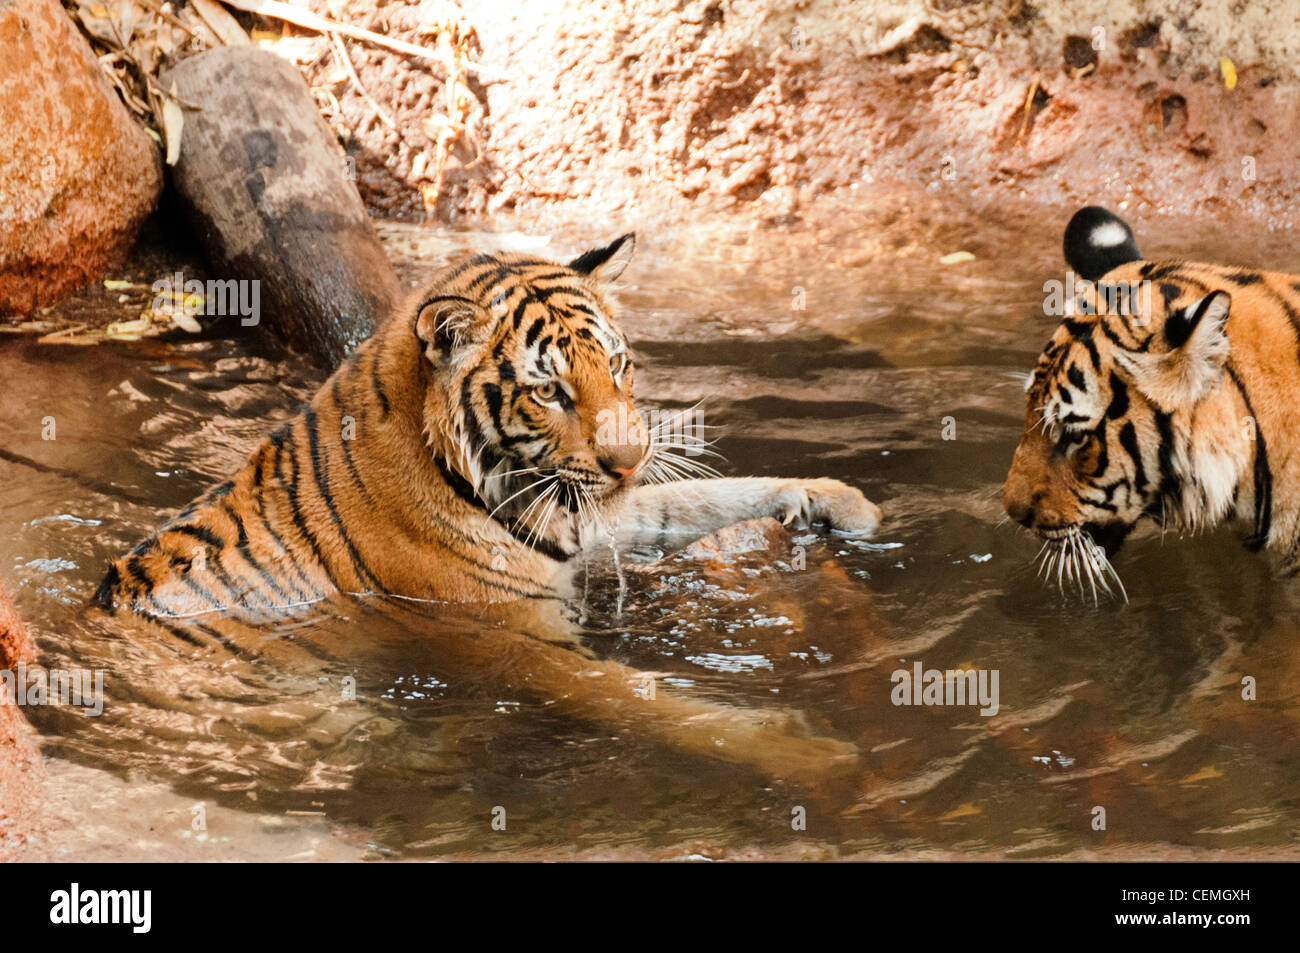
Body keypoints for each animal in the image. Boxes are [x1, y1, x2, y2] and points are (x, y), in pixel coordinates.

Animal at [91, 232, 883, 780]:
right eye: (549, 390)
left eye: (617, 364)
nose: (628, 461)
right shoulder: (518, 637)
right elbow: (652, 700)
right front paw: (810, 753)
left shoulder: (591, 515)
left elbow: (695, 498)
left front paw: (842, 501)